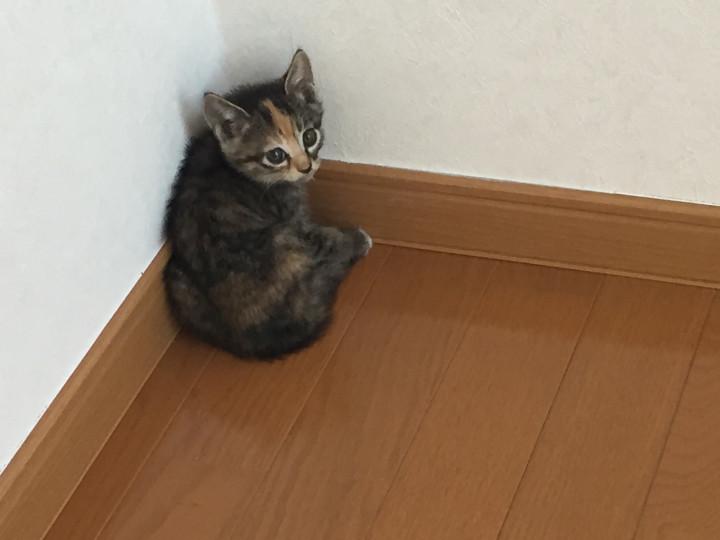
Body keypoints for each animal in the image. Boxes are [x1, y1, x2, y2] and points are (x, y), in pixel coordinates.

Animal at [163, 49, 372, 359]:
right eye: (275, 155)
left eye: (309, 136)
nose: (306, 167)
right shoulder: (293, 219)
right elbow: (325, 237)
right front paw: (356, 239)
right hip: (281, 237)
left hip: (177, 279)